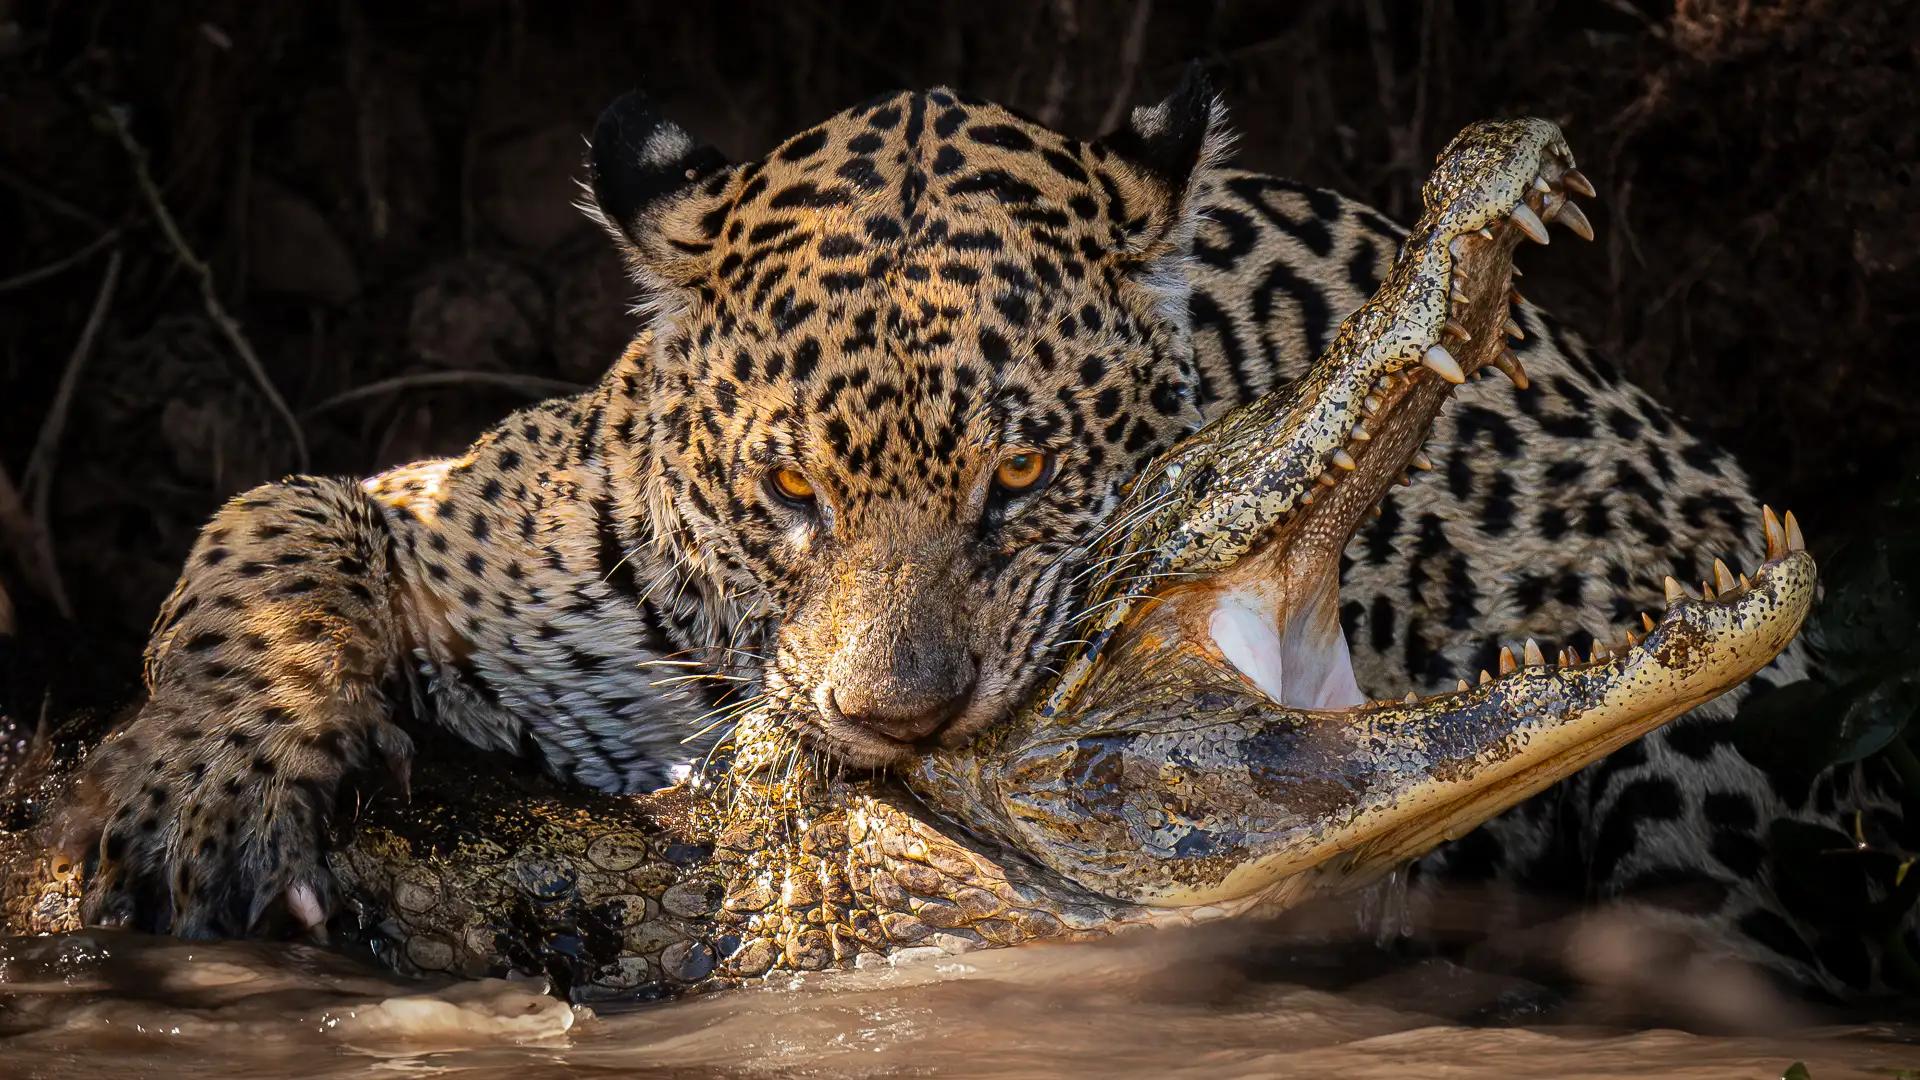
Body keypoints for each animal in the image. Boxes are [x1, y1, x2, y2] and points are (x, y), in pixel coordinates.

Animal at [61, 63, 1899, 997]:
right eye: (787, 496)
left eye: (1020, 481)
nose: (892, 720)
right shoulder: (449, 509)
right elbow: (272, 529)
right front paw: (199, 788)